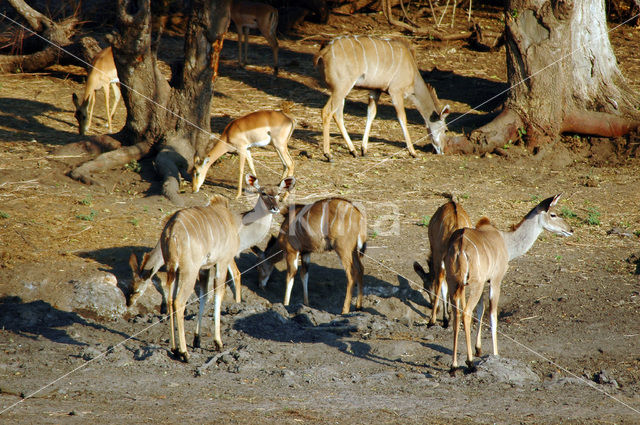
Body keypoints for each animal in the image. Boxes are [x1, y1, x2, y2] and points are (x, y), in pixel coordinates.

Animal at [312, 34, 448, 160]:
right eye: (446, 129)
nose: (442, 150)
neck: (413, 73)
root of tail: (325, 51)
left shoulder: (375, 91)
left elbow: (371, 114)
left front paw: (364, 149)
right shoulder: (396, 92)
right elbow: (402, 118)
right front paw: (413, 152)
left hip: (340, 91)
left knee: (337, 114)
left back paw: (353, 151)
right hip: (341, 88)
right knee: (327, 112)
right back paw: (328, 154)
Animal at [412, 199, 472, 328]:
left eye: (425, 288)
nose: (430, 305)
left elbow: (442, 284)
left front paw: (444, 318)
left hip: (440, 254)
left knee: (441, 279)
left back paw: (432, 320)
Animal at [444, 194, 576, 372]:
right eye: (553, 214)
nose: (570, 229)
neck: (506, 241)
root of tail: (460, 245)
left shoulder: (485, 282)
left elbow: (481, 309)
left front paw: (479, 349)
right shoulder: (495, 280)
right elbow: (492, 315)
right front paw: (495, 354)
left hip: (454, 282)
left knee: (457, 313)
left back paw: (454, 365)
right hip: (474, 284)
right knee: (466, 313)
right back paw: (470, 363)